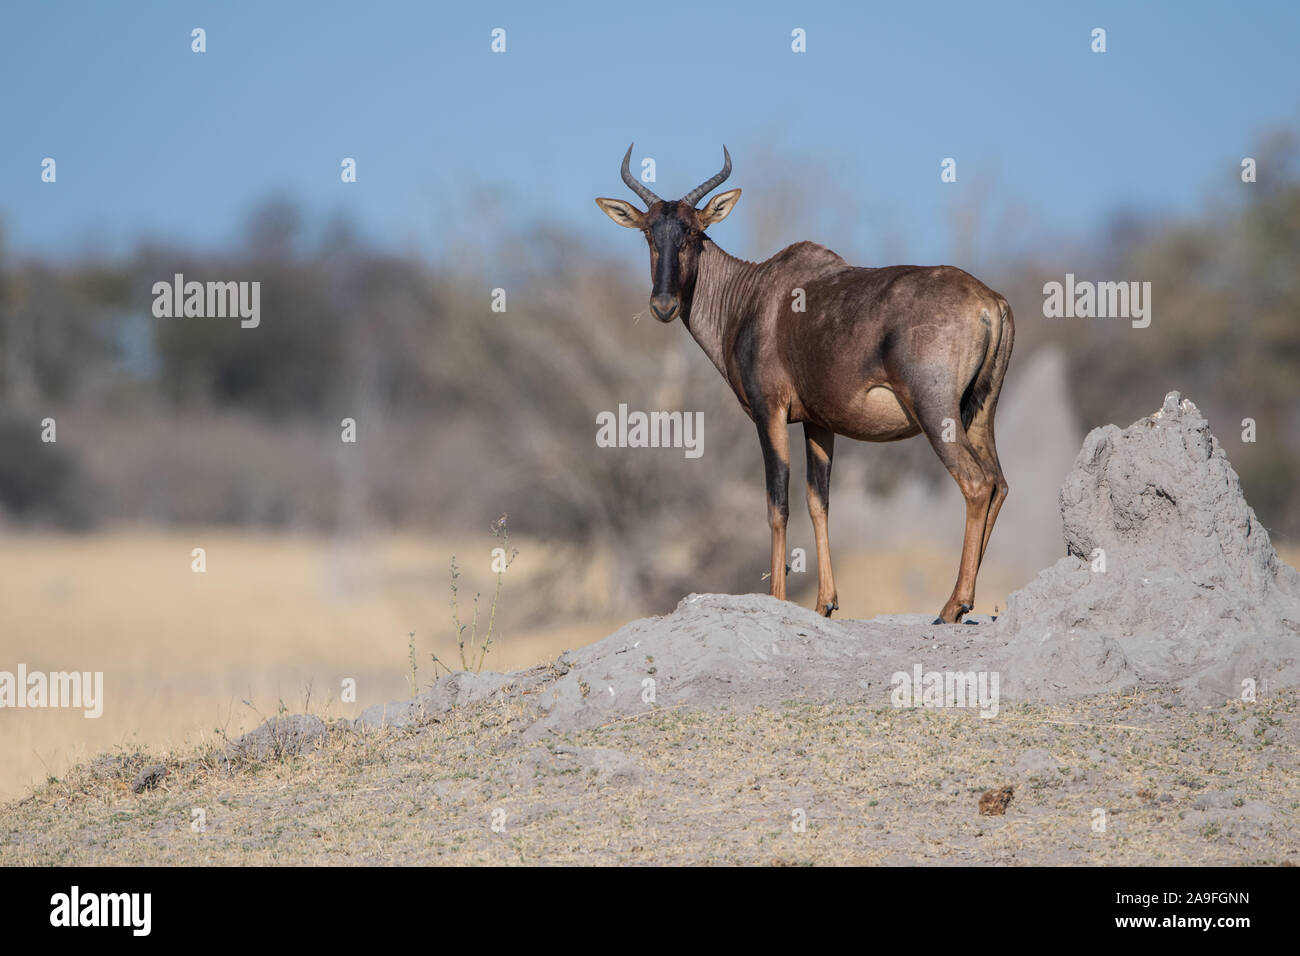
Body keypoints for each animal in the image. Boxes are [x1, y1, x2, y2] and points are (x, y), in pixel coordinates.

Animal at [598, 145, 1013, 624]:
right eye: (649, 232)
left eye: (694, 232)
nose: (663, 305)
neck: (753, 293)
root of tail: (991, 302)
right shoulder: (819, 423)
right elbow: (819, 502)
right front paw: (824, 604)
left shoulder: (770, 412)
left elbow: (777, 503)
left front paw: (777, 599)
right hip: (979, 412)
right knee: (998, 483)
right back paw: (964, 602)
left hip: (936, 412)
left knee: (976, 483)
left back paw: (951, 607)